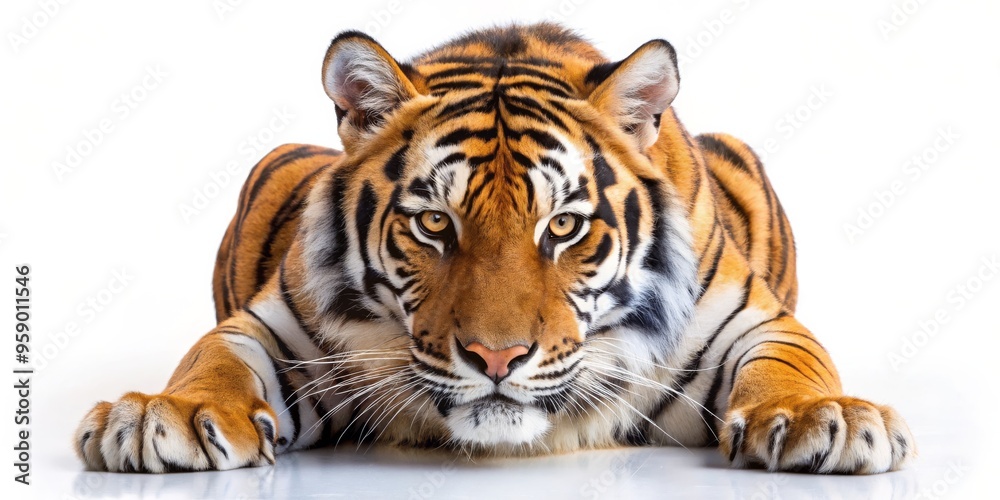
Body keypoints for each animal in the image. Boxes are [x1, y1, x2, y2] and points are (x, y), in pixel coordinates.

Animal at [74, 23, 914, 474]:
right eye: (433, 224)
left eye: (564, 227)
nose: (497, 359)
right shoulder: (281, 327)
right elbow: (213, 359)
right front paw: (163, 417)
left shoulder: (749, 320)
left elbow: (790, 364)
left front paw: (824, 420)